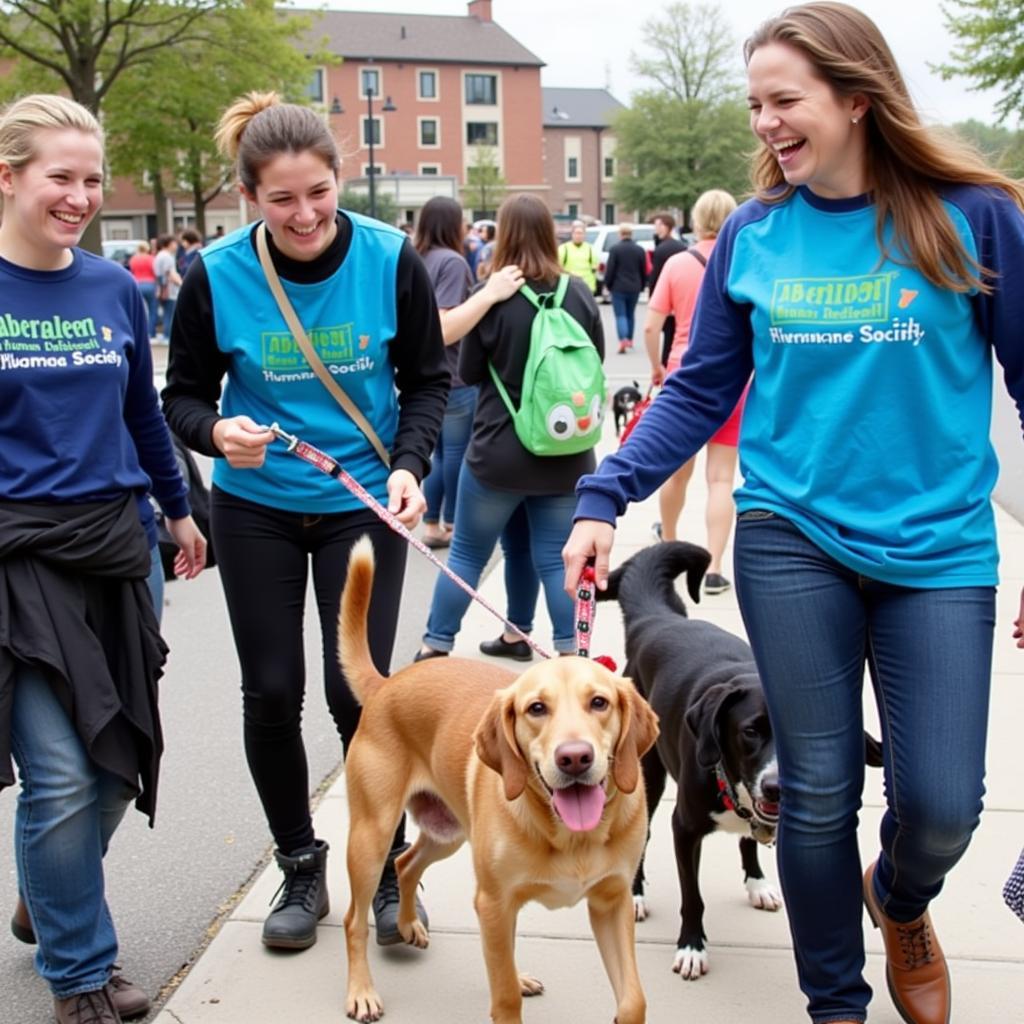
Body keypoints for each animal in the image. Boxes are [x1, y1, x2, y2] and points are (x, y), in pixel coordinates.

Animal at [335, 540, 655, 1019]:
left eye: (599, 702)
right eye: (536, 709)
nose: (575, 758)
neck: (571, 837)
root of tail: (387, 684)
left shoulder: (611, 903)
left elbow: (634, 999)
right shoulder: (494, 903)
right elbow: (502, 995)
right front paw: (509, 995)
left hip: (447, 833)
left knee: (406, 864)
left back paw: (409, 924)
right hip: (371, 838)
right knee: (354, 918)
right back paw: (361, 990)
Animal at [598, 544, 880, 983]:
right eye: (751, 731)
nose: (777, 788)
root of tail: (657, 620)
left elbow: (751, 839)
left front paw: (758, 882)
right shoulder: (685, 828)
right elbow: (692, 896)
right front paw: (692, 946)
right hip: (647, 771)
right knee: (642, 831)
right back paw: (636, 893)